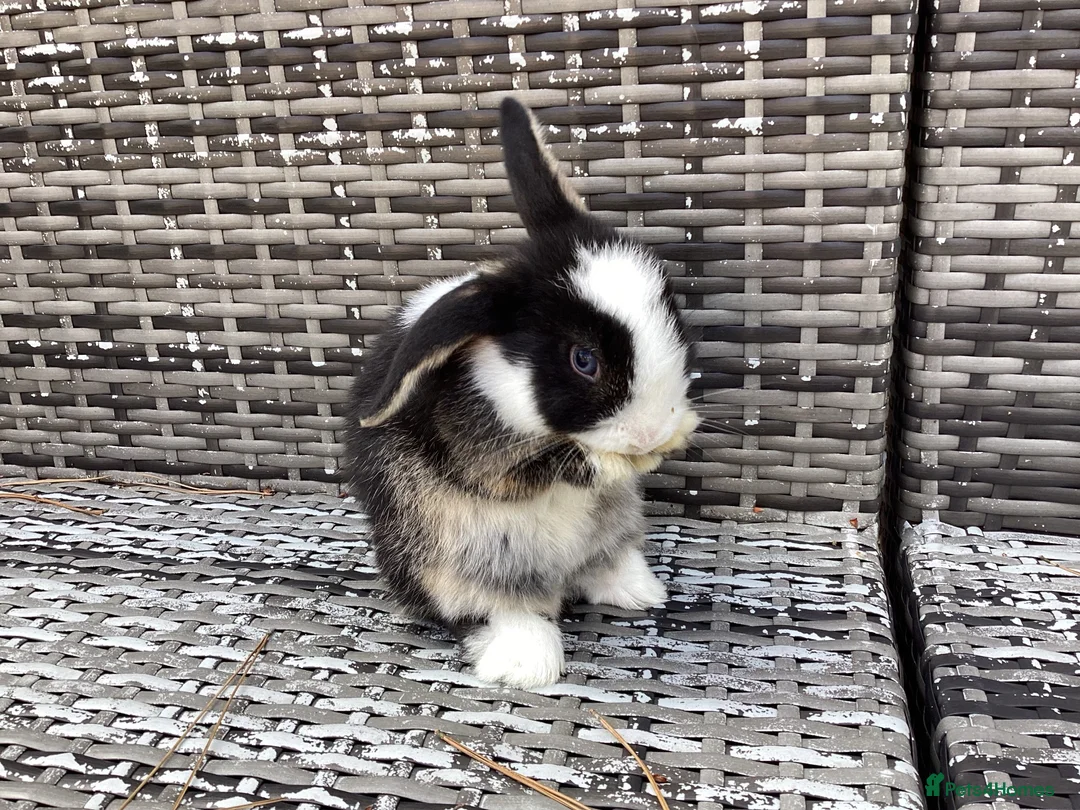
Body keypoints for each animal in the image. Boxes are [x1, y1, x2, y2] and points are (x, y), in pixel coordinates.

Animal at [344, 96, 699, 690]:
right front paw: (624, 458)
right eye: (584, 360)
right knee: (493, 609)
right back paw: (527, 663)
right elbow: (556, 467)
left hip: (610, 530)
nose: (655, 433)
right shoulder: (487, 462)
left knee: (599, 566)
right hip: (464, 562)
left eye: (672, 314)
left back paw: (639, 592)